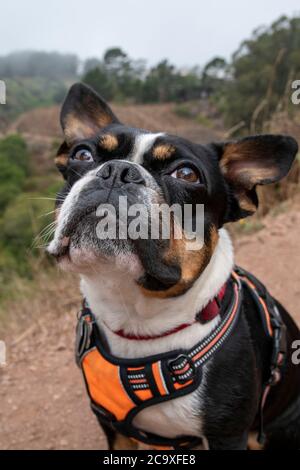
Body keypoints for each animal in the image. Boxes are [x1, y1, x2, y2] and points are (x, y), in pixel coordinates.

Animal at [48, 82, 300, 450]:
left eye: (186, 174)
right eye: (82, 155)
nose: (118, 171)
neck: (136, 318)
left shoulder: (227, 435)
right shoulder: (112, 427)